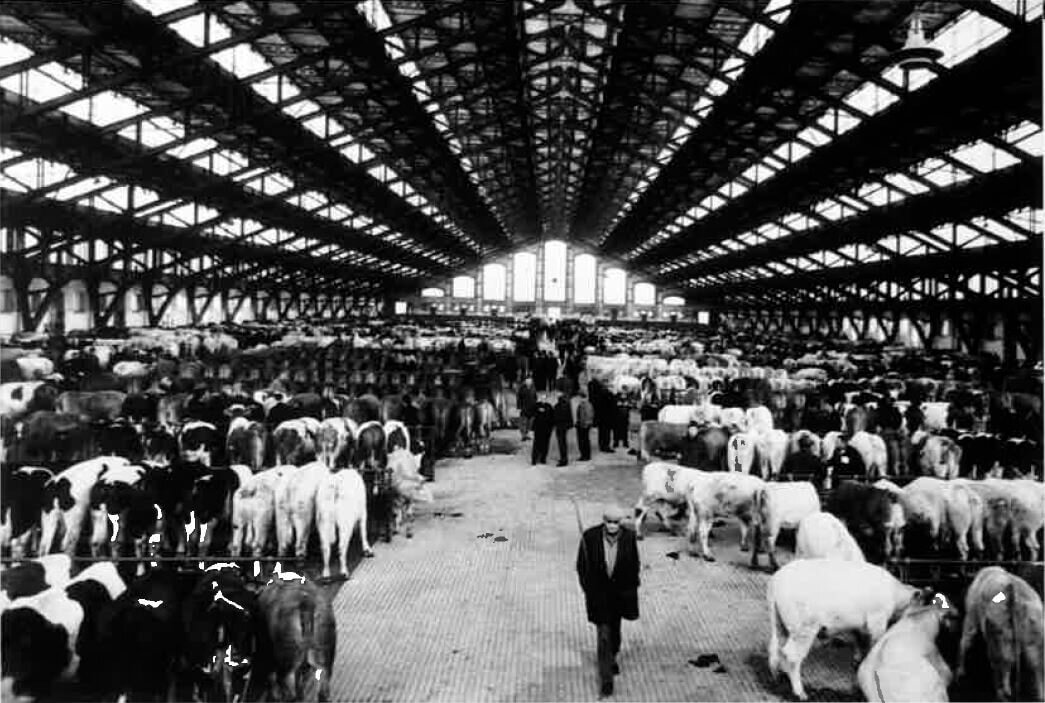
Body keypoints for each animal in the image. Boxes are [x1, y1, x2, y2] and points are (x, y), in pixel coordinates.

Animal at [769, 555, 923, 697]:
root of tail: (776, 581)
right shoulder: (877, 621)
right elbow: (873, 644)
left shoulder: (858, 626)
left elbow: (859, 642)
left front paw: (858, 661)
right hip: (803, 628)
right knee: (791, 655)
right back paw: (799, 692)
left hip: (781, 624)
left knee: (776, 649)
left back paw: (778, 677)